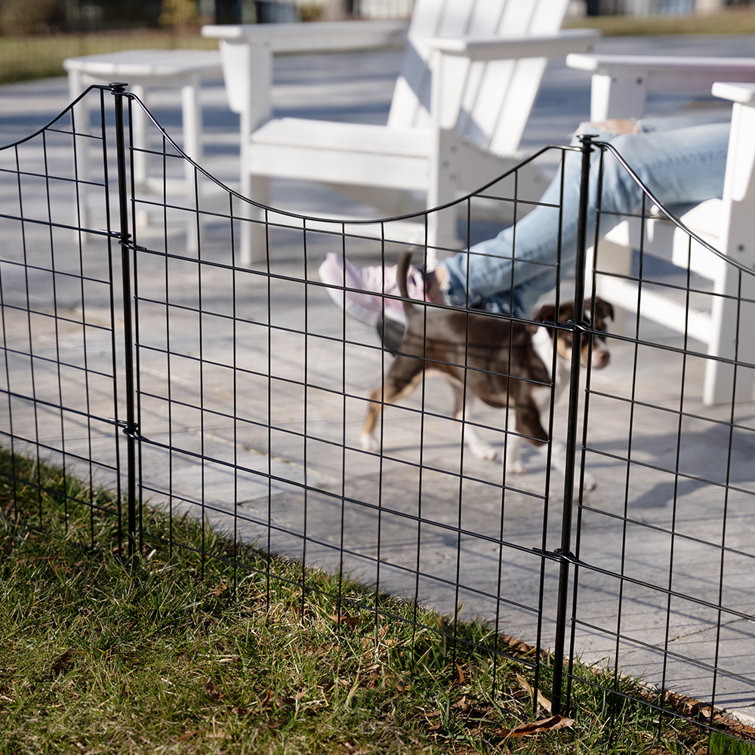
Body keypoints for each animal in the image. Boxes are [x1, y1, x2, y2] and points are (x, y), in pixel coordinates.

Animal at [360, 252, 616, 490]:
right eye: (577, 338)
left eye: (603, 330)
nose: (605, 356)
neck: (550, 358)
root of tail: (417, 314)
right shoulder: (528, 416)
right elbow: (558, 448)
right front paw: (585, 481)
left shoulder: (522, 414)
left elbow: (514, 438)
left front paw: (511, 466)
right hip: (407, 374)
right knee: (375, 396)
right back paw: (368, 440)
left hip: (465, 384)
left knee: (459, 415)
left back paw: (482, 449)